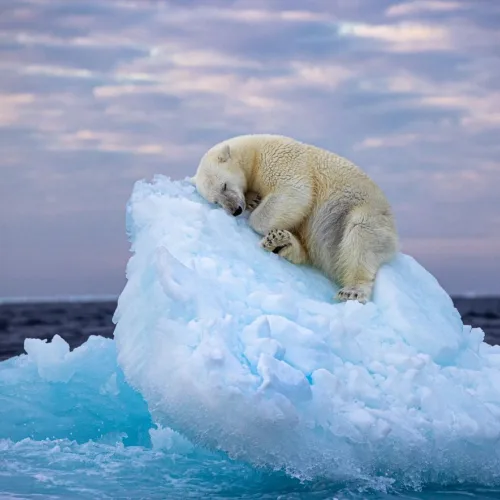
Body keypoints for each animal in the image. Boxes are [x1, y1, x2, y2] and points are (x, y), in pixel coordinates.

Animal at [190, 134, 398, 304]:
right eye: (216, 201)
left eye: (224, 186)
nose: (235, 210)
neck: (253, 152)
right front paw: (253, 200)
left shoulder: (280, 160)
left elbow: (295, 191)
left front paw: (255, 212)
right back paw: (280, 242)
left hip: (365, 212)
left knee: (360, 236)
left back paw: (352, 291)